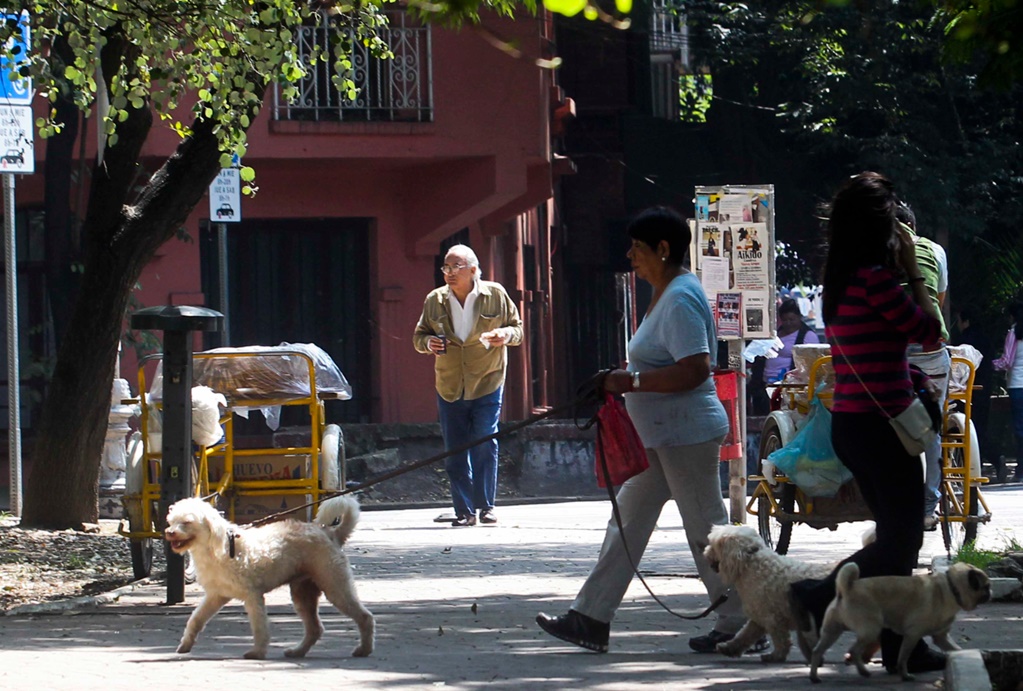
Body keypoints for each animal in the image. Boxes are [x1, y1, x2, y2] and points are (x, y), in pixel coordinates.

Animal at [163, 497, 376, 659]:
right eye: (171, 521)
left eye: (187, 522)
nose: (169, 532)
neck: (219, 547)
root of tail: (330, 533)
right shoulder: (216, 596)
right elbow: (196, 619)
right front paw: (186, 644)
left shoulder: (252, 596)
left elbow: (259, 627)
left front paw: (257, 652)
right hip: (303, 594)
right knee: (315, 629)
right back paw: (298, 652)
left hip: (335, 587)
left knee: (365, 617)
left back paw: (364, 649)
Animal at [707, 524, 834, 663]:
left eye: (713, 545)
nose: (705, 551)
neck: (751, 563)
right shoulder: (758, 617)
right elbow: (745, 635)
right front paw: (728, 648)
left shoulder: (773, 618)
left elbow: (781, 640)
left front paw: (776, 656)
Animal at [810, 565, 986, 683]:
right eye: (986, 586)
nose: (989, 593)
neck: (951, 587)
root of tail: (846, 589)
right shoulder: (912, 635)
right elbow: (902, 659)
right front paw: (905, 675)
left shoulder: (941, 637)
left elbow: (956, 648)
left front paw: (963, 655)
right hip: (871, 630)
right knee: (854, 651)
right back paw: (863, 671)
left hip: (832, 632)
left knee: (817, 651)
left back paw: (814, 676)